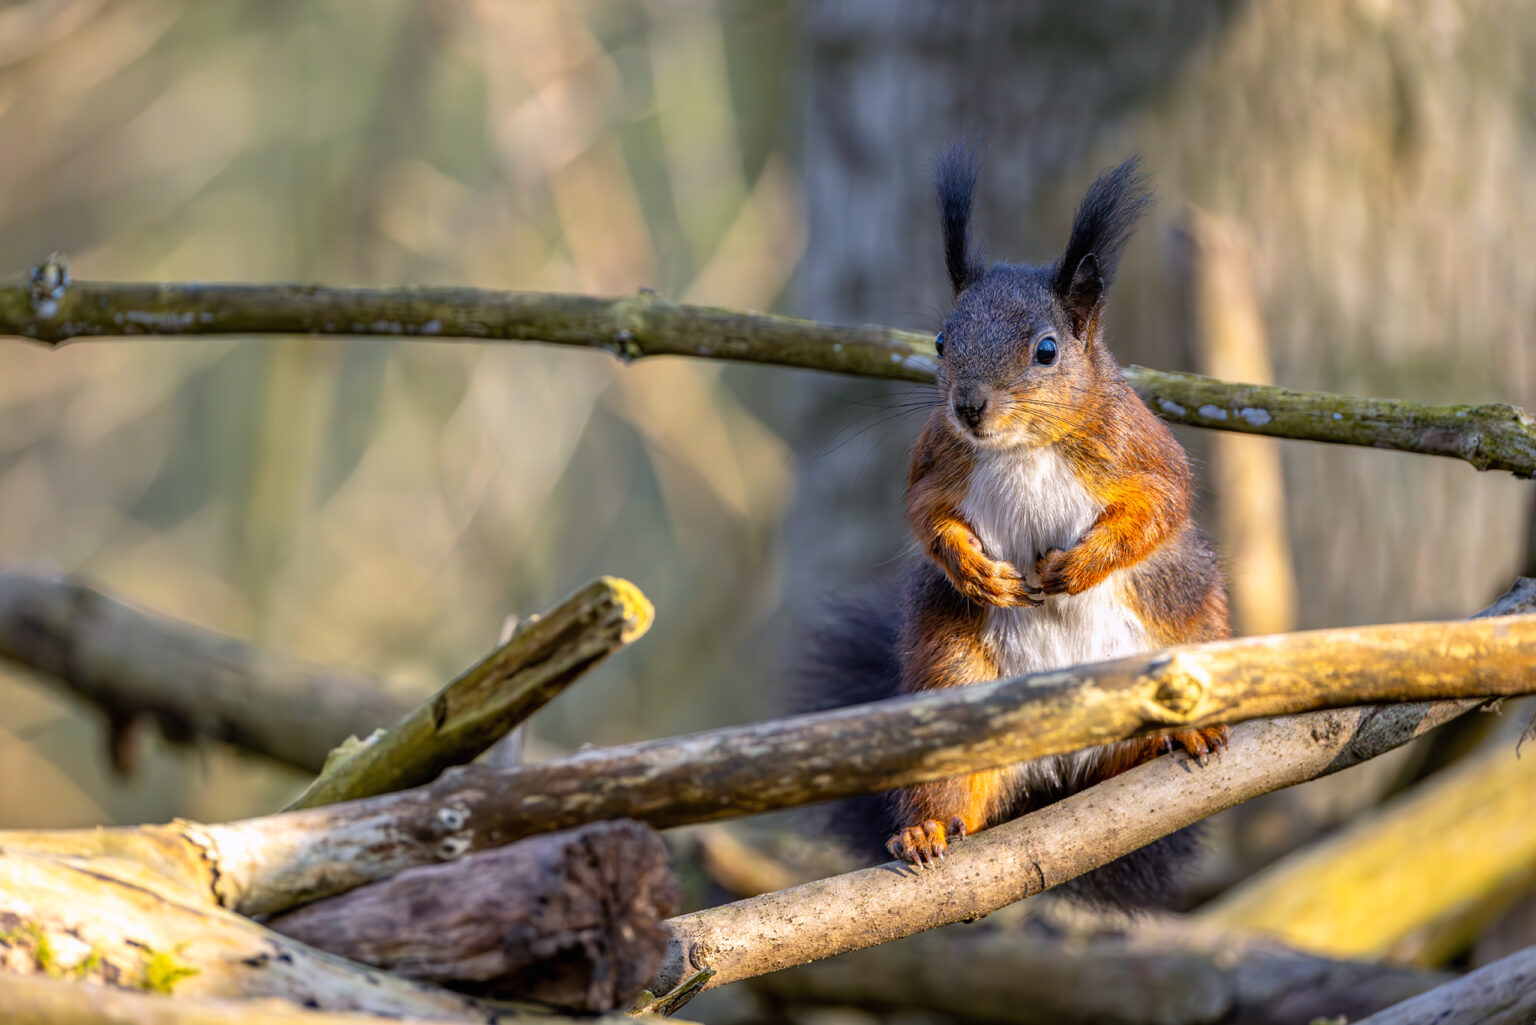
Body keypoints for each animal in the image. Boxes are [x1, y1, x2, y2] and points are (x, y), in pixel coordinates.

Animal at [798, 144, 1228, 903]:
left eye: (1047, 350)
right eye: (942, 340)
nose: (969, 405)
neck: (1021, 445)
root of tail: (1059, 771)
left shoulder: (1141, 451)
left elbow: (1160, 506)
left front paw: (1078, 566)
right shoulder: (935, 461)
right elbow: (926, 516)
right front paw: (978, 571)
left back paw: (1184, 734)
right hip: (954, 684)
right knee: (952, 794)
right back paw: (926, 830)